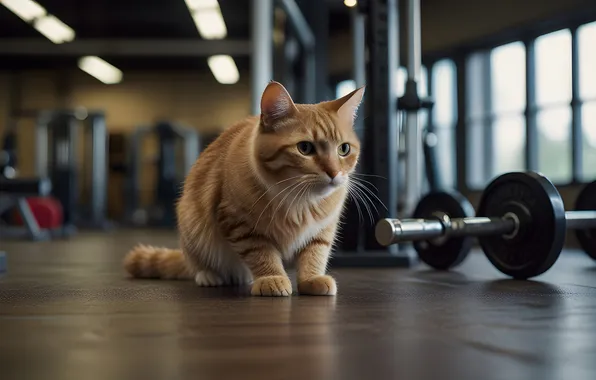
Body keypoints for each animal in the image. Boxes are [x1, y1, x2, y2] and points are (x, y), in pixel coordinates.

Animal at [124, 81, 366, 296]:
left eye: (344, 149)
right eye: (305, 148)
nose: (334, 173)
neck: (301, 201)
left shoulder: (324, 228)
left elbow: (315, 254)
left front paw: (311, 279)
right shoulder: (240, 224)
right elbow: (262, 254)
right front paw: (271, 278)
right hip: (191, 227)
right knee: (198, 265)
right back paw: (209, 275)